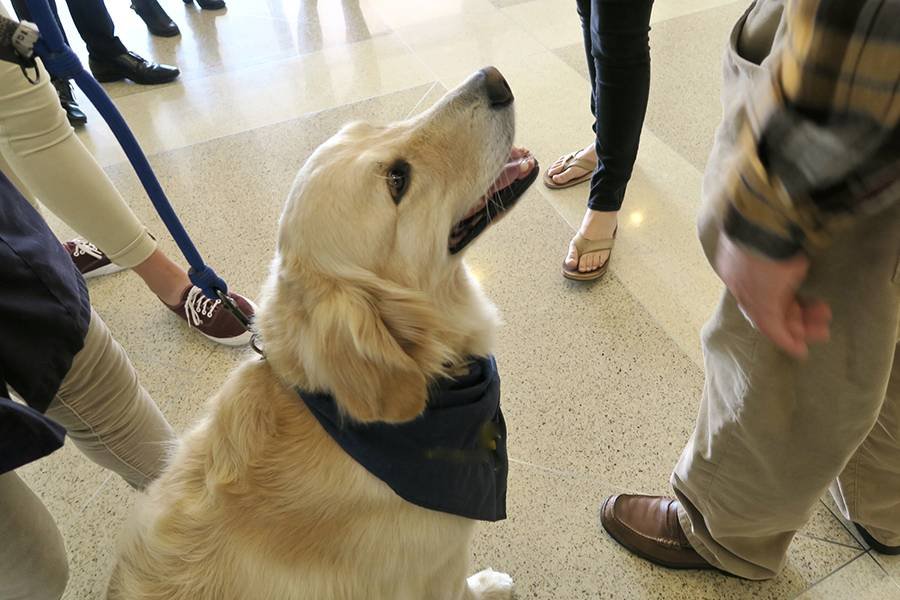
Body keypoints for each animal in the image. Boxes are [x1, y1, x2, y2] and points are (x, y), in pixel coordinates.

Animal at [109, 67, 536, 600]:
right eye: (398, 180)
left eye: (375, 126)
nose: (494, 78)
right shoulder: (437, 572)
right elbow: (465, 587)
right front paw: (490, 584)